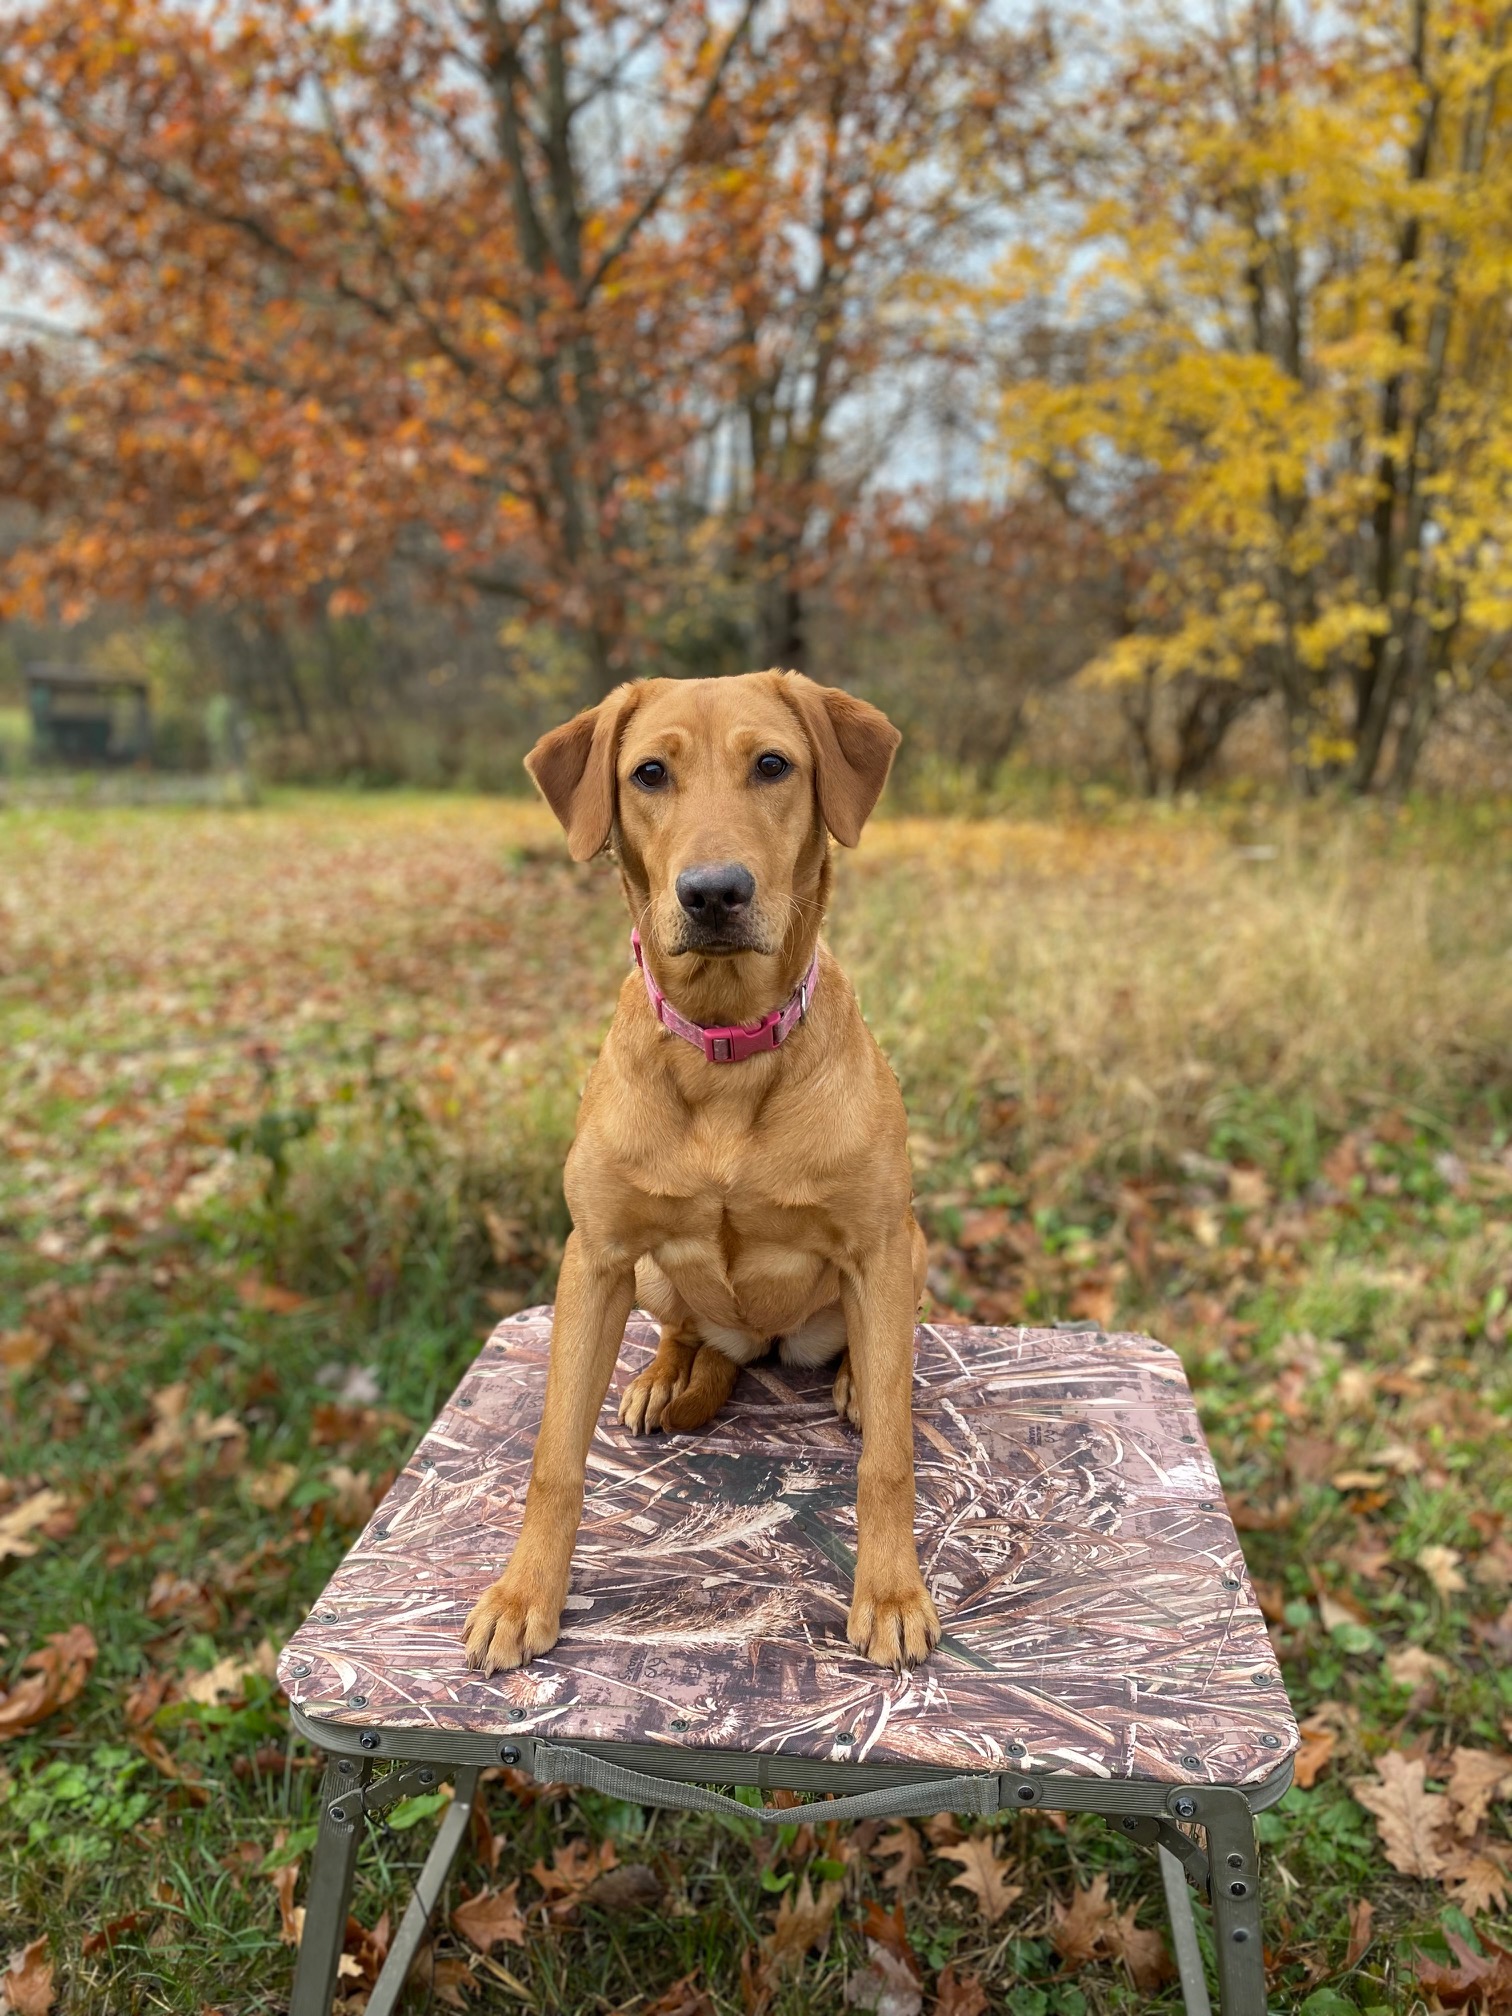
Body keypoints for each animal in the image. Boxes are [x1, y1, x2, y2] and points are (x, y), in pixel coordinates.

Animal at [461, 669, 943, 1677]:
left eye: (774, 765)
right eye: (649, 773)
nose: (714, 892)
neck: (724, 1054)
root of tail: (753, 1345)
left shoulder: (877, 1245)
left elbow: (888, 1459)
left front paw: (890, 1590)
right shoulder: (596, 1255)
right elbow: (554, 1455)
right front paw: (525, 1594)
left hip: (909, 1254)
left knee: (876, 1358)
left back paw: (853, 1377)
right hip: (649, 1274)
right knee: (686, 1327)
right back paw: (662, 1372)